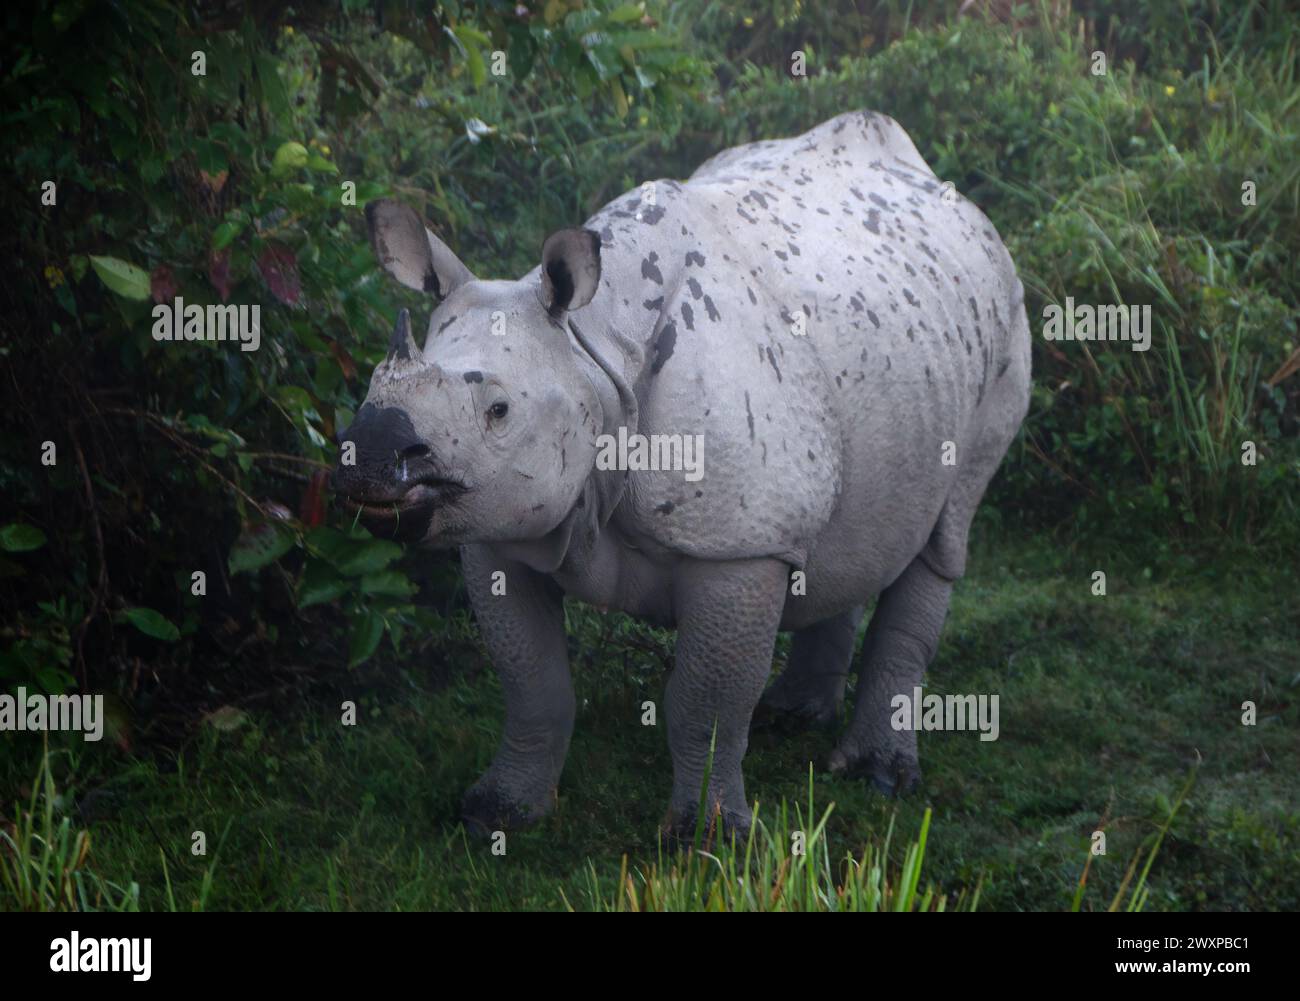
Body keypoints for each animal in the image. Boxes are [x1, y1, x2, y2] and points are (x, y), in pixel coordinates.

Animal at [333, 110, 1031, 839]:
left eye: (498, 411)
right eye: (376, 380)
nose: (370, 453)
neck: (591, 350)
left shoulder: (738, 542)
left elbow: (706, 701)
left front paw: (709, 839)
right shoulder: (502, 526)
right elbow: (531, 682)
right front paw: (497, 813)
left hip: (1006, 330)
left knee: (944, 533)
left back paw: (878, 776)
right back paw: (792, 719)